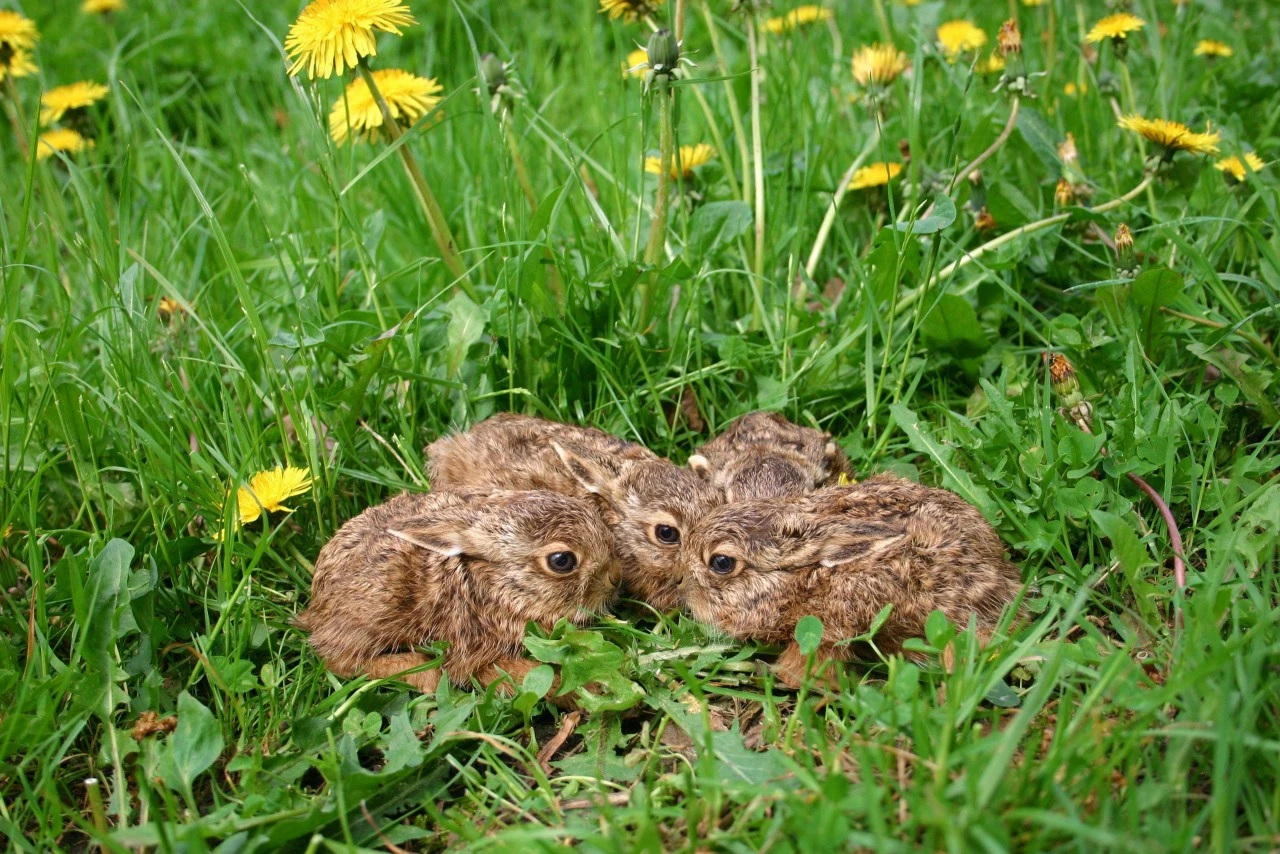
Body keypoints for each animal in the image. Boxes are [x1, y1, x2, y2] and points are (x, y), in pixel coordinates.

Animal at [295, 489, 620, 697]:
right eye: (562, 561)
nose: (615, 579)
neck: (495, 583)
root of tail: (316, 603)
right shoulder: (475, 650)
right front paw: (593, 690)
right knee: (340, 659)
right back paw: (423, 673)